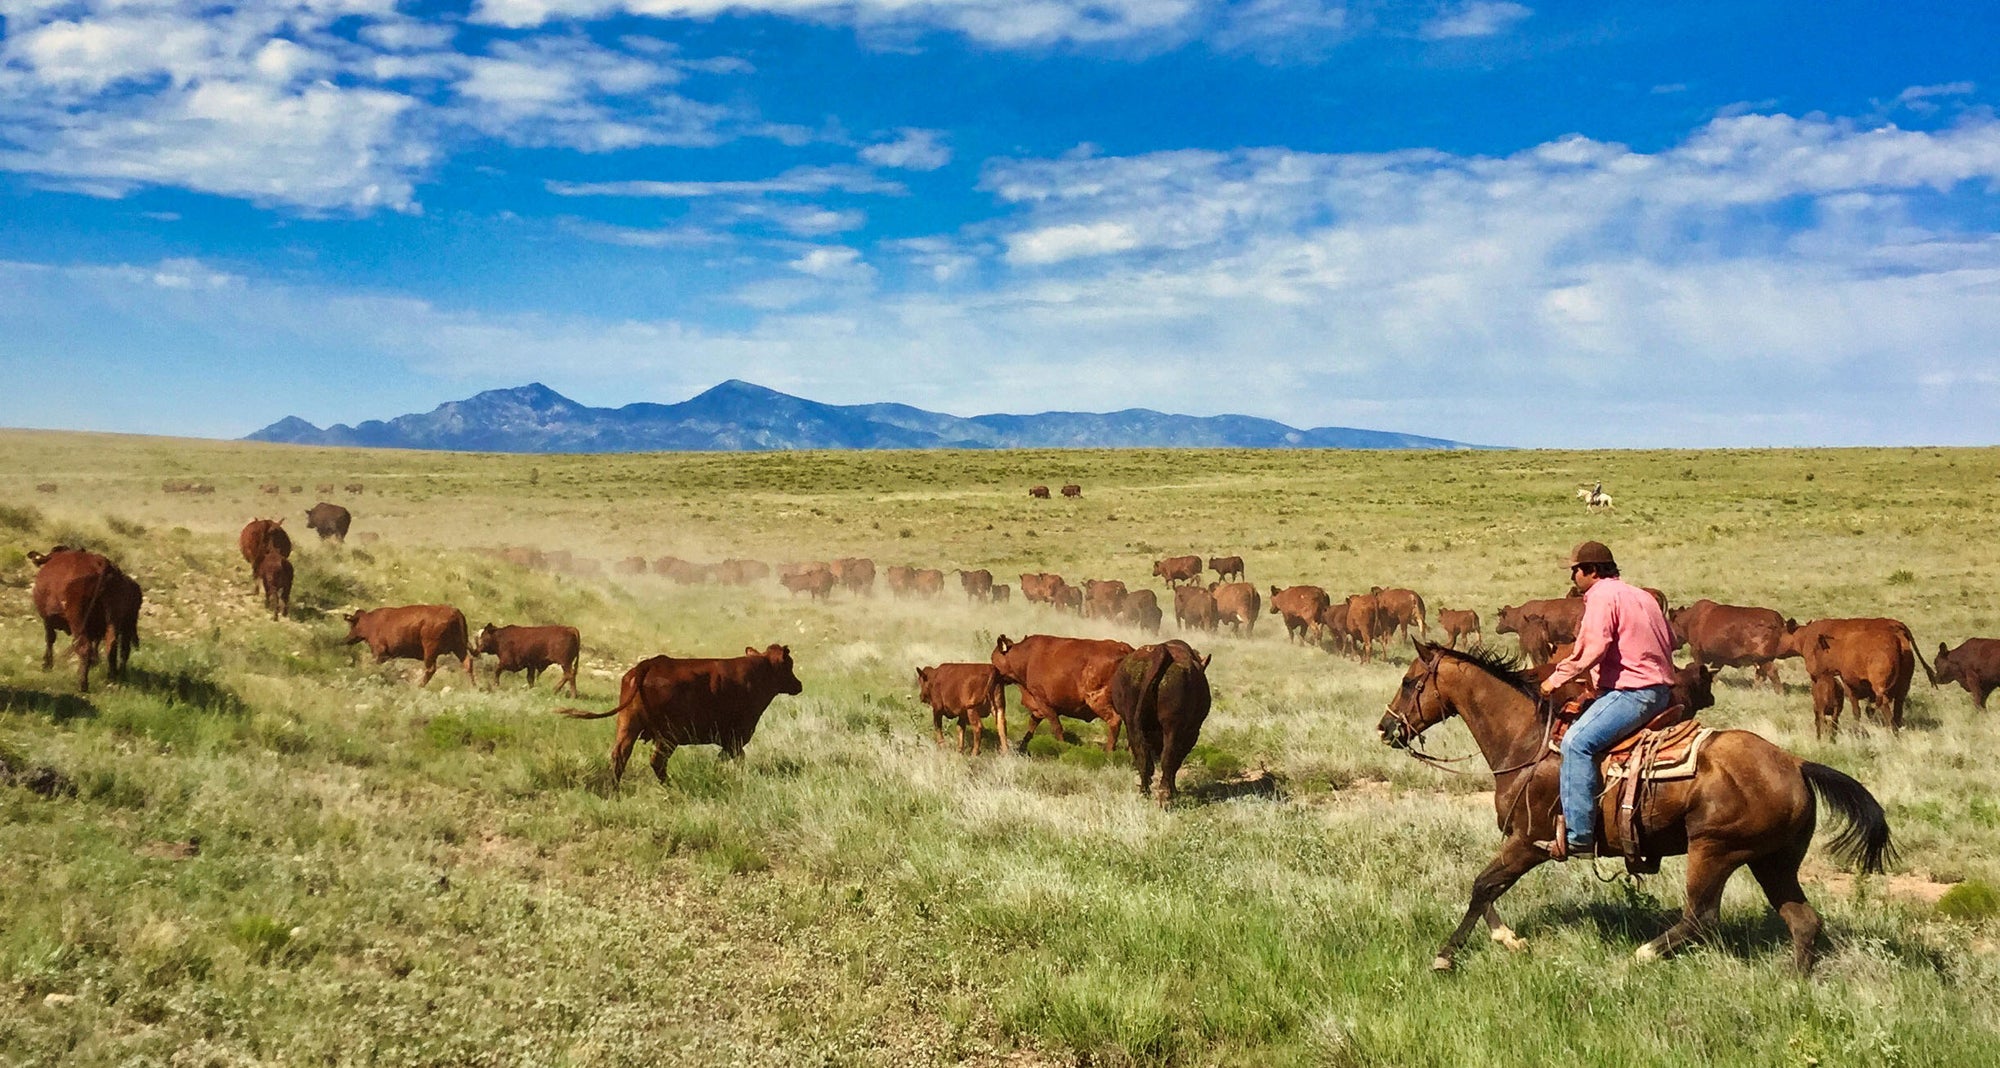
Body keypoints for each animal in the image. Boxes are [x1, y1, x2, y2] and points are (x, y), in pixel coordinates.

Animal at [342, 605, 474, 687]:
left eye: (352, 624)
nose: (347, 639)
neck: (371, 622)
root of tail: (454, 611)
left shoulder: (379, 651)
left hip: (430, 648)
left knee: (431, 669)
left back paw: (419, 686)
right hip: (458, 646)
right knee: (468, 663)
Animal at [553, 646, 802, 785]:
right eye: (789, 665)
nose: (798, 685)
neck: (759, 673)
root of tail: (650, 664)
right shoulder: (735, 737)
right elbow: (734, 759)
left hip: (627, 725)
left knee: (619, 756)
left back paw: (615, 789)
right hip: (668, 735)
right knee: (657, 761)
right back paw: (672, 786)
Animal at [990, 634, 1134, 753]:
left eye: (994, 660)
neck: (1026, 659)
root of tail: (1123, 648)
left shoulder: (1044, 703)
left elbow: (1056, 728)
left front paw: (1062, 747)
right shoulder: (1038, 708)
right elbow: (1031, 727)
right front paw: (1022, 748)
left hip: (1097, 701)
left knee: (1114, 721)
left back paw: (1109, 752)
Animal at [1111, 640, 1213, 805]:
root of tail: (1159, 650)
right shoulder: (1191, 732)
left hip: (1132, 722)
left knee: (1142, 756)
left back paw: (1145, 791)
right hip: (1173, 727)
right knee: (1168, 758)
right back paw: (1166, 794)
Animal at [1781, 618, 1933, 735]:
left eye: (1816, 648)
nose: (1811, 668)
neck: (1842, 647)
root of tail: (1898, 641)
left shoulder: (1849, 683)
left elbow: (1856, 709)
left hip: (1880, 687)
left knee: (1884, 704)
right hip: (1903, 686)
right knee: (1898, 707)